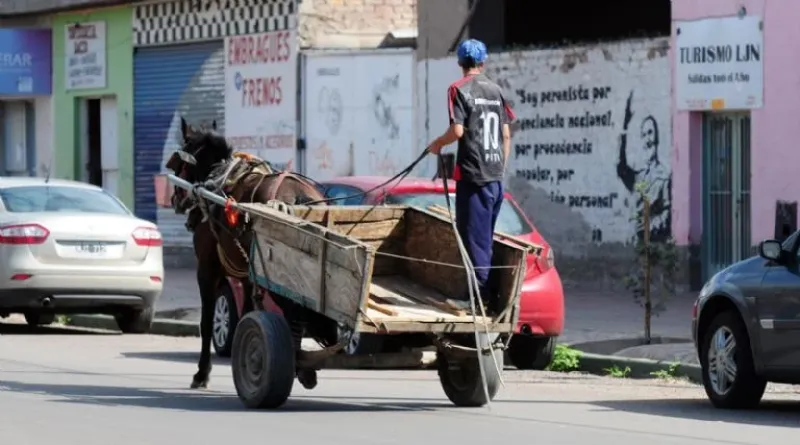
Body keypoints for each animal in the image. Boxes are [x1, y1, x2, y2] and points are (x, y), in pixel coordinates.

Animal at [164, 118, 326, 388]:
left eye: (179, 164)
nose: (175, 199)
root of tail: (297, 196)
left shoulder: (207, 269)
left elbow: (206, 321)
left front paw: (202, 373)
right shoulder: (246, 274)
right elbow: (248, 312)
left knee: (294, 313)